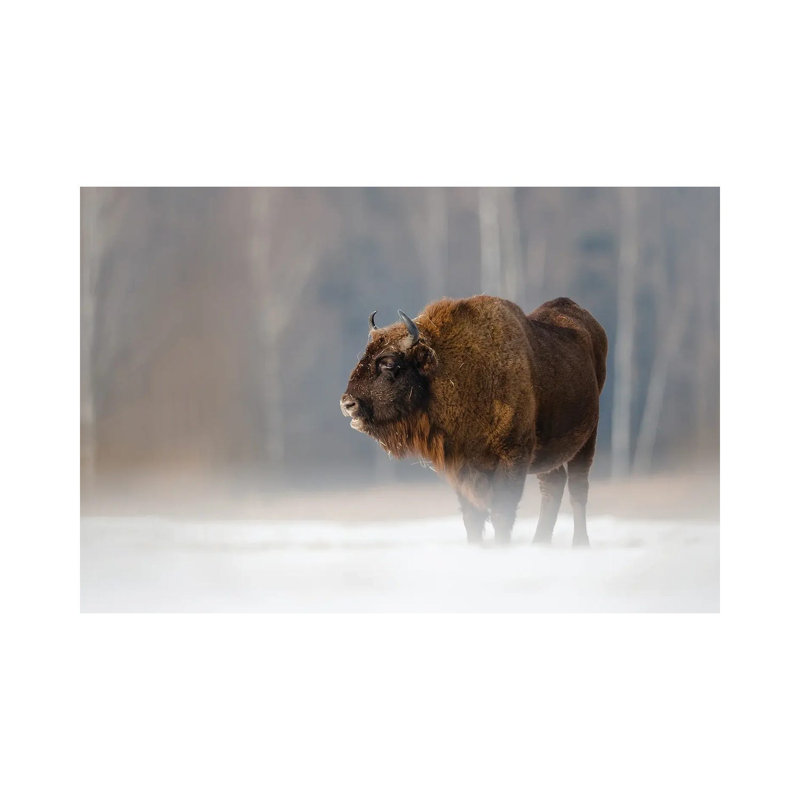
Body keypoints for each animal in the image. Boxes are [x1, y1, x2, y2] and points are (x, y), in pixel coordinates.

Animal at [341, 295, 607, 546]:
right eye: (365, 356)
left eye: (388, 363)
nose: (347, 403)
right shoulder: (462, 466)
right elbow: (472, 517)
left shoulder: (512, 457)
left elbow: (501, 513)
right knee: (552, 486)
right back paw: (539, 543)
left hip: (587, 440)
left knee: (577, 489)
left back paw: (580, 544)